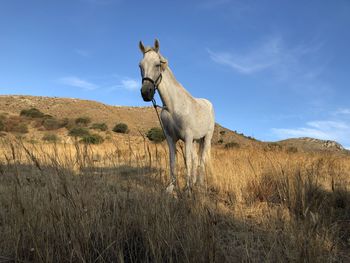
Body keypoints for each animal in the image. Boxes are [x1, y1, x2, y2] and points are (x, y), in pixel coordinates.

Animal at [138, 39, 215, 193]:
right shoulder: (171, 138)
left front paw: (187, 189)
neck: (173, 106)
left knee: (202, 160)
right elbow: (173, 161)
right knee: (196, 159)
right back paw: (195, 182)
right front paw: (171, 187)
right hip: (196, 140)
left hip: (206, 138)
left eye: (157, 64)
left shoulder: (187, 137)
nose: (146, 93)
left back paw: (200, 184)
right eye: (140, 66)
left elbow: (187, 162)